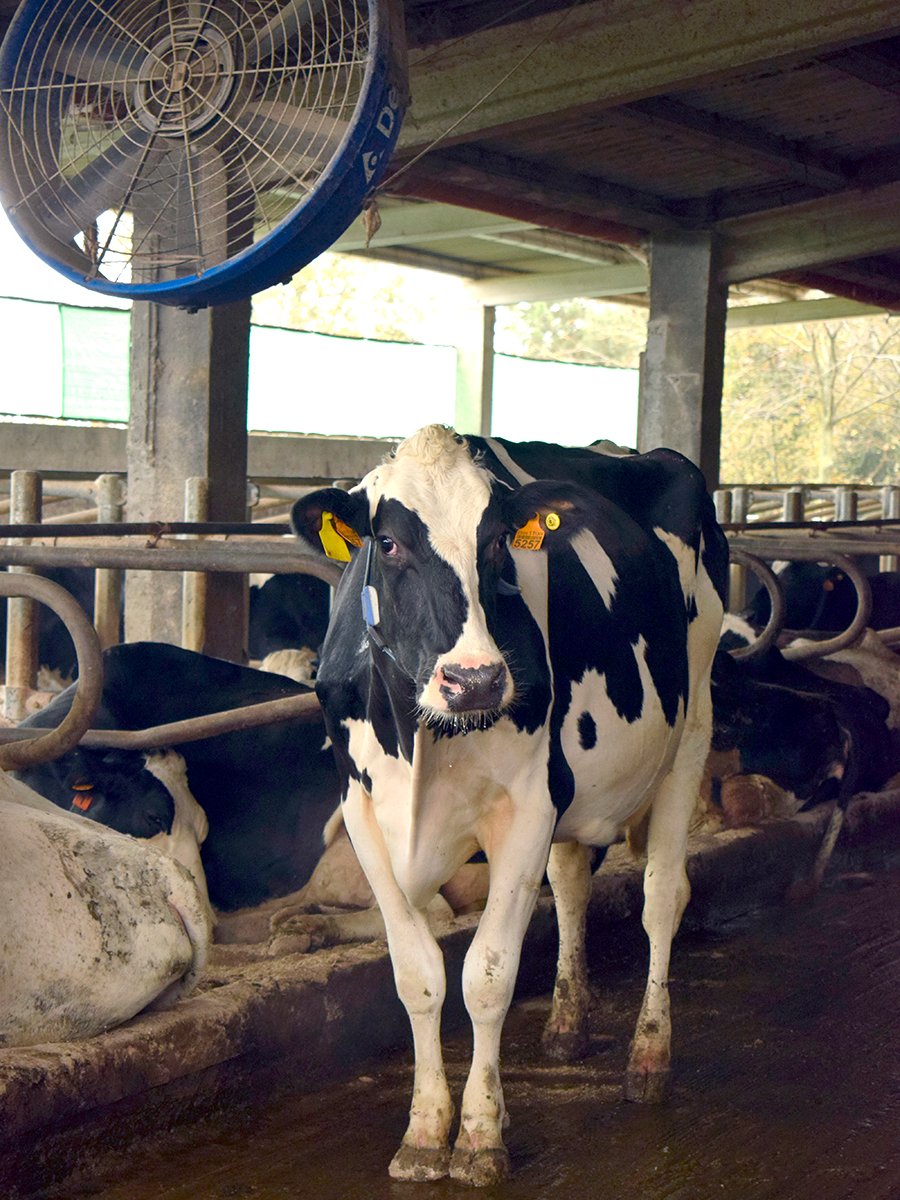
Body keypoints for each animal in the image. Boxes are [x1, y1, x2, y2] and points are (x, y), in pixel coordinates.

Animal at [292, 427, 729, 1185]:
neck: (422, 737)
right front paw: (423, 1133)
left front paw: (479, 1136)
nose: (475, 681)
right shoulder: (363, 814)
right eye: (389, 542)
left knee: (662, 896)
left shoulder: (527, 806)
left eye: (497, 541)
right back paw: (566, 1024)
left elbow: (487, 976)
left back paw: (648, 1056)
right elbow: (418, 978)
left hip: (691, 726)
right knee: (574, 884)